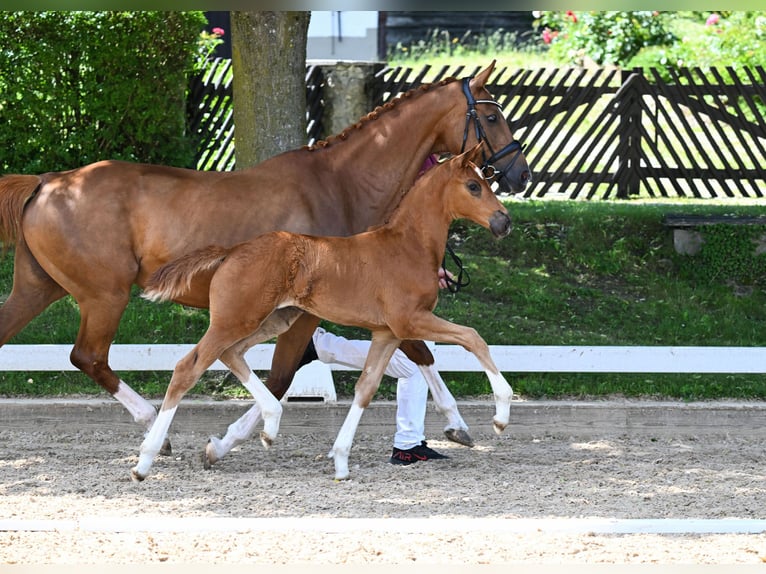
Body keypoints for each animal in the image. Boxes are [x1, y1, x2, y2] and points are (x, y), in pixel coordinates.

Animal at [133, 143, 514, 481]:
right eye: (474, 186)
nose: (504, 222)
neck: (408, 246)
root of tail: (234, 249)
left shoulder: (387, 332)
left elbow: (365, 388)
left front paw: (341, 462)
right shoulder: (410, 320)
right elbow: (472, 338)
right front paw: (500, 415)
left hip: (271, 320)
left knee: (232, 355)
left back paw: (268, 425)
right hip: (237, 319)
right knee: (188, 367)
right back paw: (144, 462)